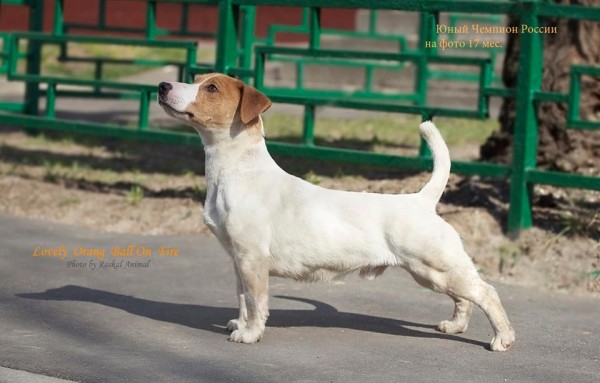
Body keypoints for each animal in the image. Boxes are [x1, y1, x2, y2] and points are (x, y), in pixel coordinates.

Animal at [159, 73, 516, 352]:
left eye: (212, 88)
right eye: (195, 78)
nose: (163, 85)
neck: (237, 170)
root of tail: (421, 200)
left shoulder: (252, 259)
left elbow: (256, 302)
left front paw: (250, 334)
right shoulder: (238, 260)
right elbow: (243, 299)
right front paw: (240, 324)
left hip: (435, 268)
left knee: (485, 292)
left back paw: (502, 338)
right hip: (435, 274)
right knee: (464, 299)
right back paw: (455, 326)